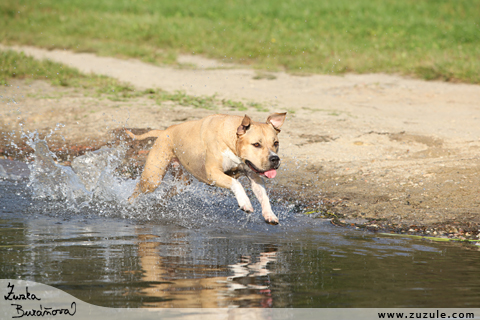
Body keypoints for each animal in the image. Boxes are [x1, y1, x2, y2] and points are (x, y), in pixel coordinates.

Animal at [125, 113, 286, 225]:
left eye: (276, 143)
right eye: (256, 144)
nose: (275, 159)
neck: (232, 140)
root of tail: (163, 132)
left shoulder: (254, 175)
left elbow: (263, 195)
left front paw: (270, 214)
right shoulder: (213, 173)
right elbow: (236, 183)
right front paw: (245, 203)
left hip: (182, 183)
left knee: (167, 193)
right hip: (153, 178)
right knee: (138, 188)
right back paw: (129, 204)